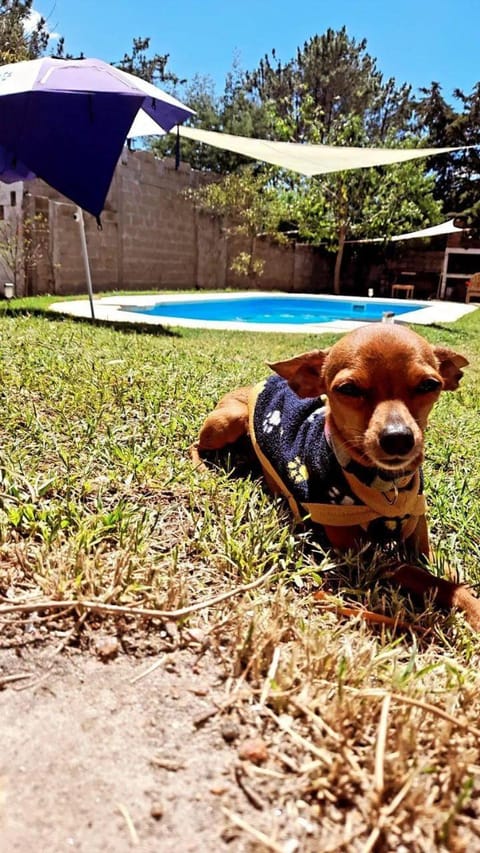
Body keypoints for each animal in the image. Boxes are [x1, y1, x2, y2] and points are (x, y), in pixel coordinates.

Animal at [192, 322, 480, 628]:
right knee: (195, 446)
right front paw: (469, 606)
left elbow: (445, 571)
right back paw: (203, 470)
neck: (386, 486)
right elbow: (425, 577)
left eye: (430, 385)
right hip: (228, 420)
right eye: (348, 389)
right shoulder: (365, 557)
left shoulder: (419, 540)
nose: (398, 438)